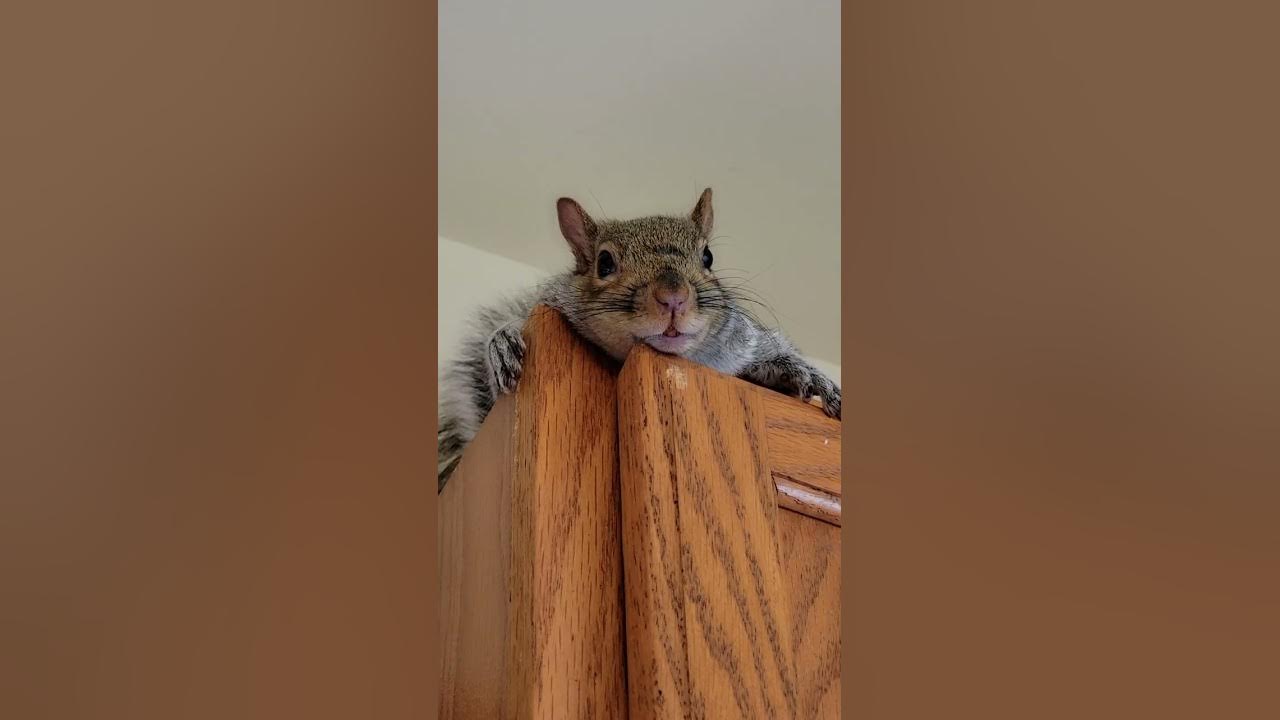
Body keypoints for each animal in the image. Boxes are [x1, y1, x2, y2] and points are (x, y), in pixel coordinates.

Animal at [438, 188, 840, 489]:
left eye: (708, 256)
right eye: (604, 263)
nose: (673, 297)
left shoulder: (745, 342)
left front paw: (802, 374)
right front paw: (503, 341)